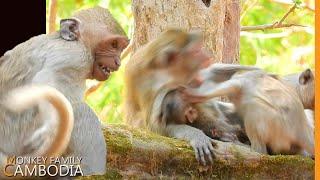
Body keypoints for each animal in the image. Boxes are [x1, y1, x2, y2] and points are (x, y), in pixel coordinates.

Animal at [1, 6, 129, 176]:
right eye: (113, 44)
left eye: (121, 47)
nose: (118, 62)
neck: (79, 42)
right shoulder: (76, 56)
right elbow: (46, 80)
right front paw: (49, 130)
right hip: (17, 132)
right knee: (79, 110)